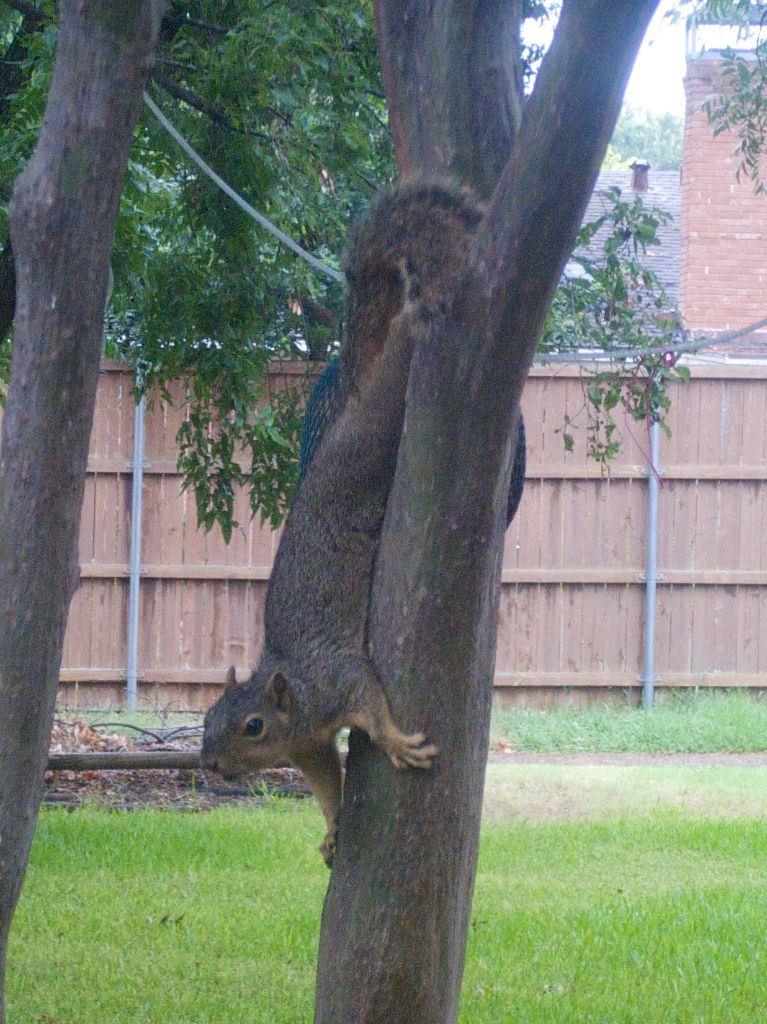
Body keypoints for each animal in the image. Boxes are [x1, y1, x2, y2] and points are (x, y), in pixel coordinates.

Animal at [200, 184, 481, 864]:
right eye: (207, 717)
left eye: (253, 727)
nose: (210, 766)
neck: (297, 696)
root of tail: (342, 421)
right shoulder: (309, 744)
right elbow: (326, 781)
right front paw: (331, 830)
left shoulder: (340, 677)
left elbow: (373, 705)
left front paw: (399, 742)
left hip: (374, 443)